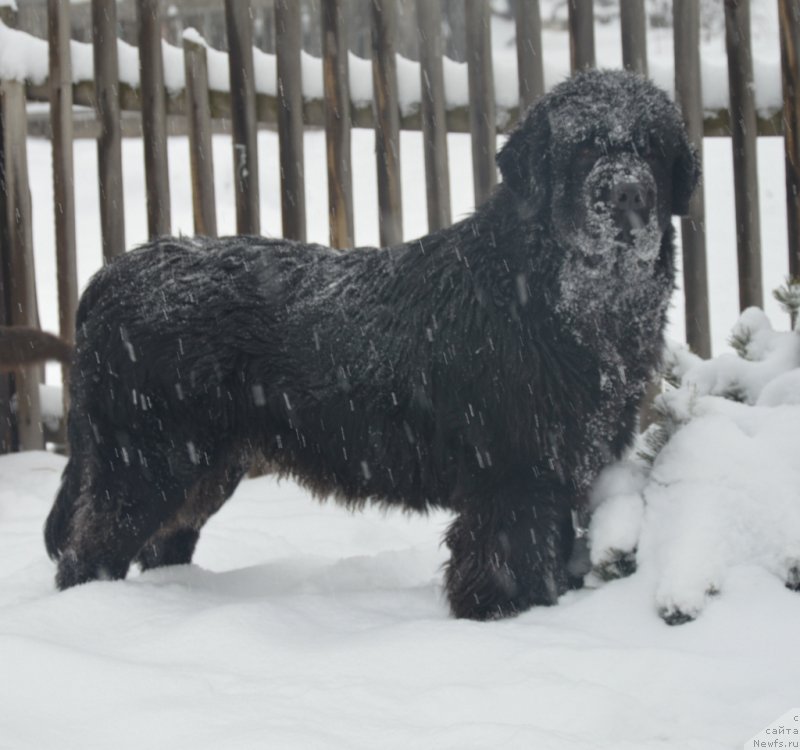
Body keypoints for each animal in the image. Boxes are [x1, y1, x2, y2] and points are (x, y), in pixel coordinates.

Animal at [43, 72, 696, 624]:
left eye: (652, 149)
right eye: (583, 148)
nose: (628, 196)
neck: (558, 297)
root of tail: (114, 272)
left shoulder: (563, 464)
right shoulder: (514, 472)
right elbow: (509, 559)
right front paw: (503, 620)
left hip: (205, 466)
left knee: (162, 541)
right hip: (145, 460)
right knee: (88, 551)